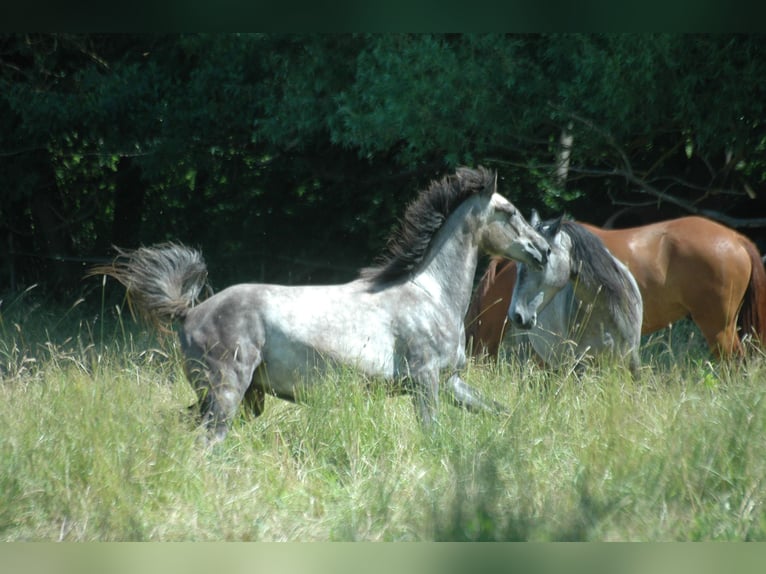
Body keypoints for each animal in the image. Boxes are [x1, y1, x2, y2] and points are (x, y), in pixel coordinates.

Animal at [91, 167, 551, 444]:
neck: (429, 294)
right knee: (208, 442)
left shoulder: (451, 382)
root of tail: (190, 312)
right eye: (509, 212)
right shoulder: (426, 382)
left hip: (233, 399)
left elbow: (498, 412)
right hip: (225, 394)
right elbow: (431, 432)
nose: (543, 251)